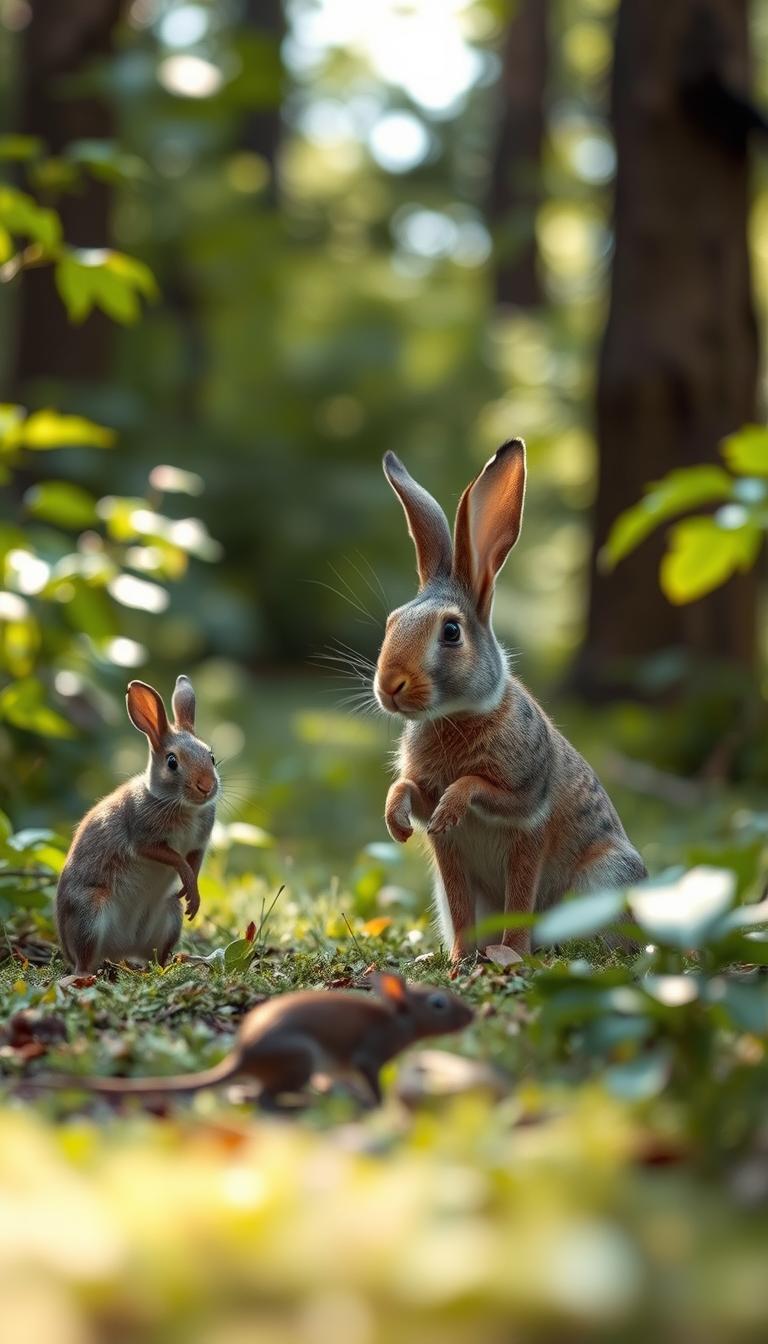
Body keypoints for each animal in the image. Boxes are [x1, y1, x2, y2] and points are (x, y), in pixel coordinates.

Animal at [25, 973, 474, 1108]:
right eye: (438, 1003)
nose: (472, 1016)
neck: (396, 1019)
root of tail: (242, 1057)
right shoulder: (368, 1057)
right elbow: (372, 1085)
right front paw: (379, 1107)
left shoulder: (344, 1068)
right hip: (303, 1058)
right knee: (264, 1097)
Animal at [56, 675, 219, 973]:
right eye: (172, 761)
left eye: (211, 757)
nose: (206, 786)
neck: (181, 805)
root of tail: (121, 948)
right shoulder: (143, 836)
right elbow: (174, 858)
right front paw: (188, 883)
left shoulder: (199, 844)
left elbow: (194, 861)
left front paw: (193, 897)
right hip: (90, 913)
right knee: (84, 960)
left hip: (170, 916)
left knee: (157, 954)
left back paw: (168, 965)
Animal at [375, 440, 647, 963]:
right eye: (392, 621)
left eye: (451, 632)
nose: (389, 685)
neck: (456, 716)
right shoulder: (446, 843)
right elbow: (413, 796)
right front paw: (396, 820)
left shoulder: (525, 809)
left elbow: (483, 792)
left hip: (603, 880)